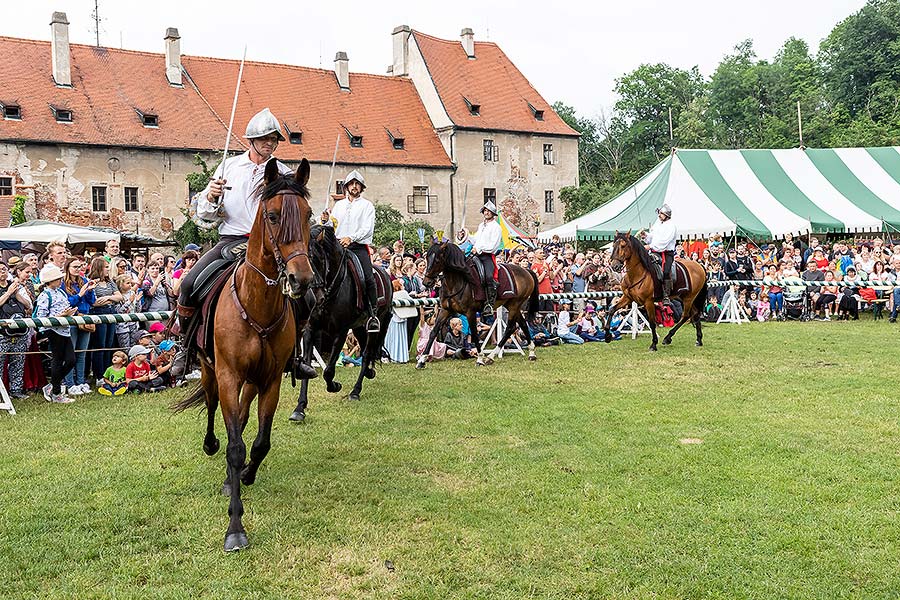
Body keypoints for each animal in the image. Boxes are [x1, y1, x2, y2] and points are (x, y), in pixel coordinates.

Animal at [176, 157, 316, 552]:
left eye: (309, 214)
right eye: (272, 215)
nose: (301, 280)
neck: (258, 305)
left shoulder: (270, 381)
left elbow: (259, 442)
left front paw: (247, 476)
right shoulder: (228, 376)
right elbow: (235, 446)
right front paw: (235, 528)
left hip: (252, 382)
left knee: (241, 414)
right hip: (210, 372)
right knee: (213, 409)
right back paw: (212, 445)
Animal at [286, 225, 388, 422]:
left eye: (317, 259)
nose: (315, 296)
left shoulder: (340, 332)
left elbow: (328, 370)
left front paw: (334, 386)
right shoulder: (310, 330)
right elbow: (307, 367)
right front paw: (300, 408)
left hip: (373, 327)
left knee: (367, 354)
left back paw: (355, 391)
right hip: (358, 328)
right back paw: (368, 374)